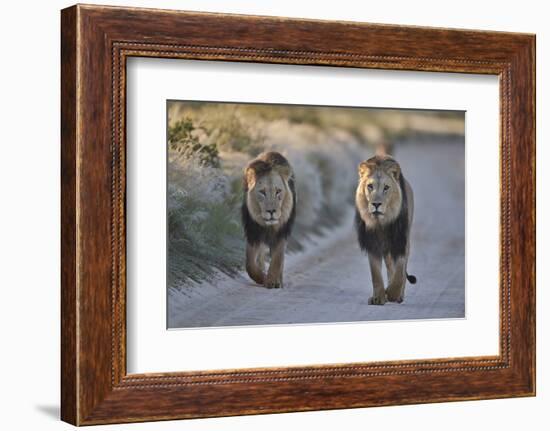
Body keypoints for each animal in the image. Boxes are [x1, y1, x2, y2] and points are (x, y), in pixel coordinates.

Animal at [242, 152, 298, 290]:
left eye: (278, 191)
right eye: (262, 192)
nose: (271, 211)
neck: (269, 226)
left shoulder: (282, 233)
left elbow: (277, 259)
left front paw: (272, 281)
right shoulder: (253, 233)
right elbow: (250, 264)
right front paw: (262, 278)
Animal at [356, 154, 416, 304]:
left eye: (386, 187)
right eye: (370, 186)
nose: (376, 204)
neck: (381, 222)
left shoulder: (401, 241)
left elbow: (400, 270)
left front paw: (393, 293)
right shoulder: (372, 243)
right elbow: (376, 274)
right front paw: (378, 297)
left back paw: (398, 295)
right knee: (389, 266)